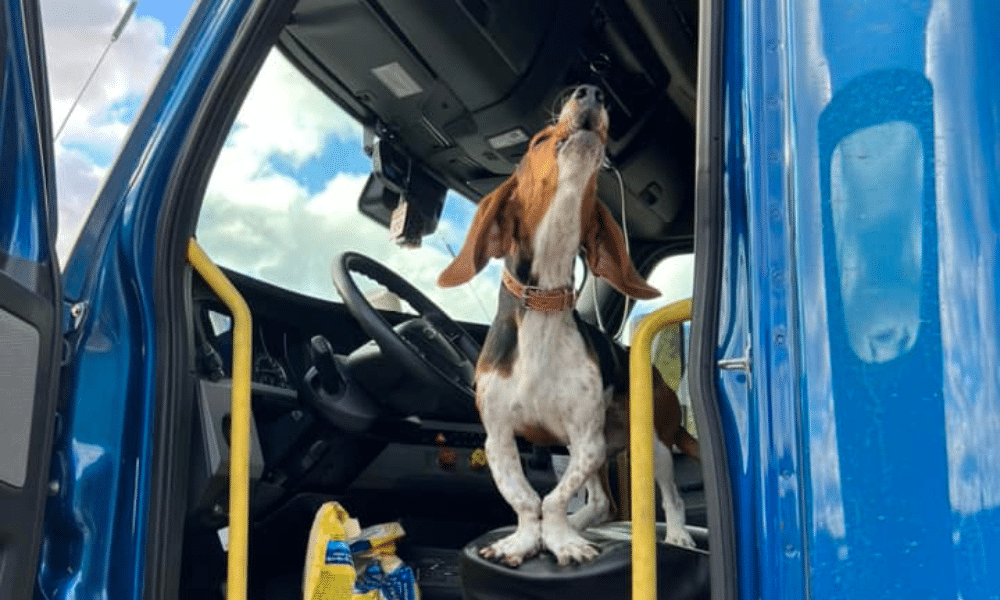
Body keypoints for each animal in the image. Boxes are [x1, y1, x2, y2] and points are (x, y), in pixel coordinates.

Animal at [438, 84, 696, 568]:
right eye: (539, 140)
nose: (590, 90)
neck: (542, 308)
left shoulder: (584, 438)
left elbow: (552, 498)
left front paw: (560, 540)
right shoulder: (499, 437)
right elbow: (526, 498)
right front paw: (525, 539)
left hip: (653, 442)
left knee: (668, 496)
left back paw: (676, 535)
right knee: (599, 503)